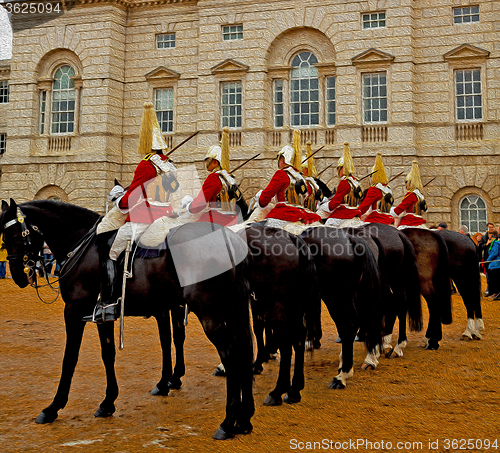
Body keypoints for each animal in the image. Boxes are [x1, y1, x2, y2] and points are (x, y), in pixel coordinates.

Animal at [0, 198, 254, 438]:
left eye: (16, 234)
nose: (18, 275)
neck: (81, 243)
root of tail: (228, 238)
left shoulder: (74, 310)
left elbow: (69, 359)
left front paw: (53, 407)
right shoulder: (103, 313)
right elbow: (109, 354)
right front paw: (108, 402)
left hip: (210, 313)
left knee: (230, 355)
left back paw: (228, 422)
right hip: (232, 310)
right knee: (243, 349)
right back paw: (244, 419)